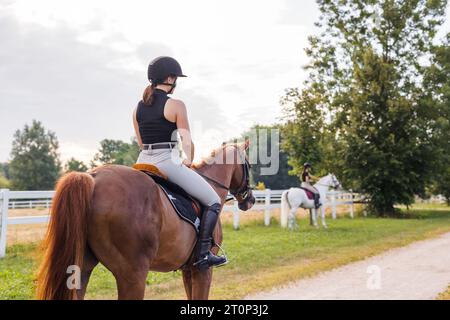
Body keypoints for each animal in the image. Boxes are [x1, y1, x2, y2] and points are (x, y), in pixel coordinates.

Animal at [36, 142, 253, 300]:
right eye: (249, 165)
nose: (250, 200)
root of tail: (94, 178)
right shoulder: (203, 270)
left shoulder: (188, 270)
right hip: (133, 275)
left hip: (81, 269)